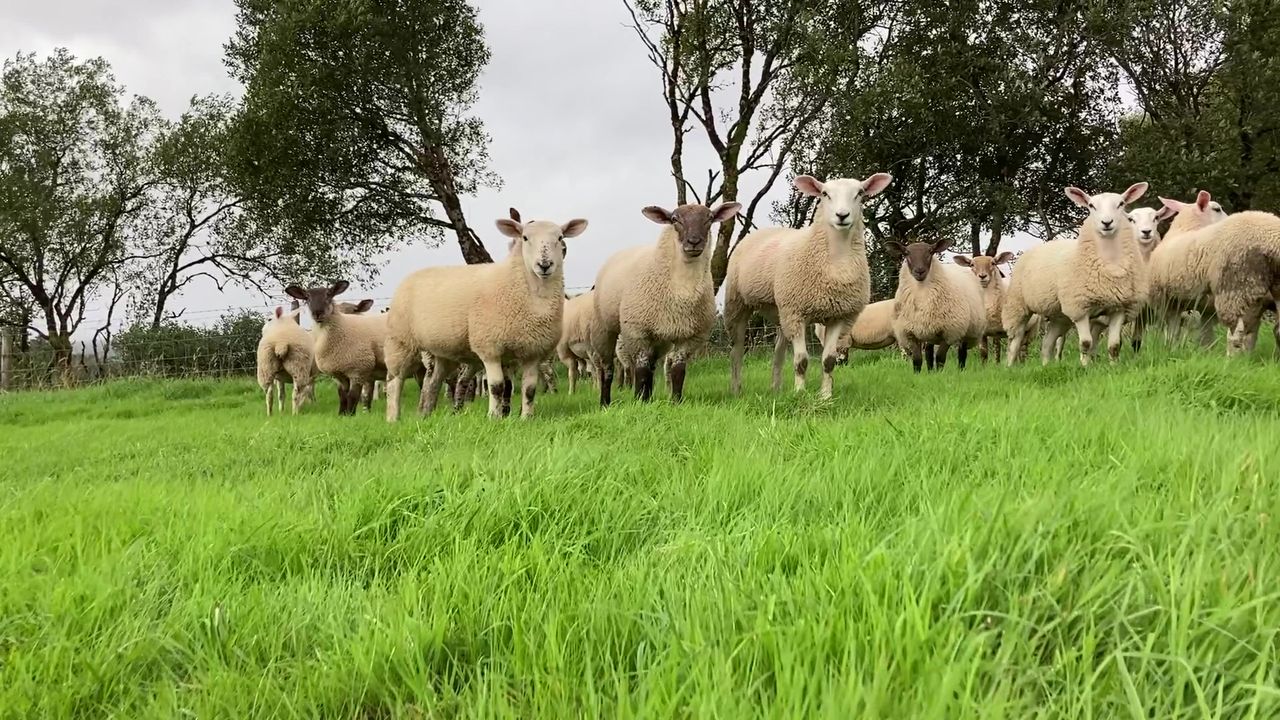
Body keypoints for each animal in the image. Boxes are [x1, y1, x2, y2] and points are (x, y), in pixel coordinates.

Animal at [384, 214, 589, 420]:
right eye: (525, 238)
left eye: (560, 238)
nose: (544, 265)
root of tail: (411, 276)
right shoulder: (489, 346)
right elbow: (497, 387)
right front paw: (494, 417)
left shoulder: (533, 351)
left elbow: (529, 389)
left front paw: (526, 418)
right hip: (400, 341)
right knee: (394, 381)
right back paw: (393, 418)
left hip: (442, 350)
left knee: (433, 381)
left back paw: (426, 413)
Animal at [591, 201, 740, 405]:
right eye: (675, 219)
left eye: (710, 218)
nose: (694, 242)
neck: (682, 291)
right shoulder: (638, 332)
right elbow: (641, 371)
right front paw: (639, 402)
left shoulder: (690, 336)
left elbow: (677, 371)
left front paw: (675, 401)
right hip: (605, 329)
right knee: (608, 368)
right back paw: (606, 402)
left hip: (660, 339)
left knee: (652, 368)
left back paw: (649, 397)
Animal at [725, 173, 891, 399]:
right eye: (825, 193)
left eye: (860, 193)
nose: (842, 215)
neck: (836, 263)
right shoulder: (797, 313)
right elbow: (801, 360)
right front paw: (799, 394)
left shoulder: (838, 315)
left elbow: (829, 360)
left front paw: (825, 396)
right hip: (740, 304)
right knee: (737, 351)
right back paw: (736, 390)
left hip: (781, 311)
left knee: (778, 352)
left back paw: (776, 389)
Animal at [886, 239, 985, 372]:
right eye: (906, 253)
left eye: (931, 251)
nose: (919, 271)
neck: (922, 292)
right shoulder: (910, 333)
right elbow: (917, 360)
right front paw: (919, 374)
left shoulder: (949, 332)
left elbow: (940, 358)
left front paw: (939, 374)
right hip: (929, 330)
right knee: (928, 352)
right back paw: (930, 371)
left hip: (966, 331)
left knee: (962, 353)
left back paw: (960, 370)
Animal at [1004, 183, 1151, 367]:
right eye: (1091, 206)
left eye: (1121, 204)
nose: (1106, 223)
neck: (1110, 267)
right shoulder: (1080, 308)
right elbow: (1086, 343)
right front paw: (1086, 366)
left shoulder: (1120, 308)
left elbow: (1114, 345)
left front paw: (1114, 367)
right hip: (1018, 305)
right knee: (1015, 341)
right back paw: (1009, 366)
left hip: (1060, 315)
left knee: (1047, 343)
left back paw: (1046, 366)